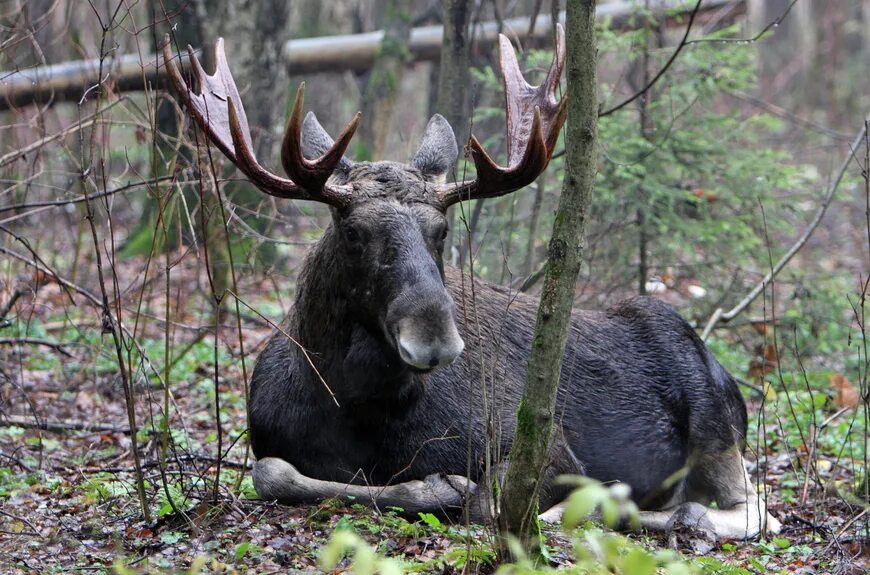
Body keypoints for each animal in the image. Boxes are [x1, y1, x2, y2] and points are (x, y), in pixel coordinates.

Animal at [165, 27, 784, 540]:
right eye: (352, 230)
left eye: (441, 231)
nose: (434, 339)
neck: (355, 404)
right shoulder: (271, 442)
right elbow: (272, 472)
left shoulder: (548, 445)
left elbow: (486, 502)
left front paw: (446, 486)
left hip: (716, 427)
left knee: (751, 510)